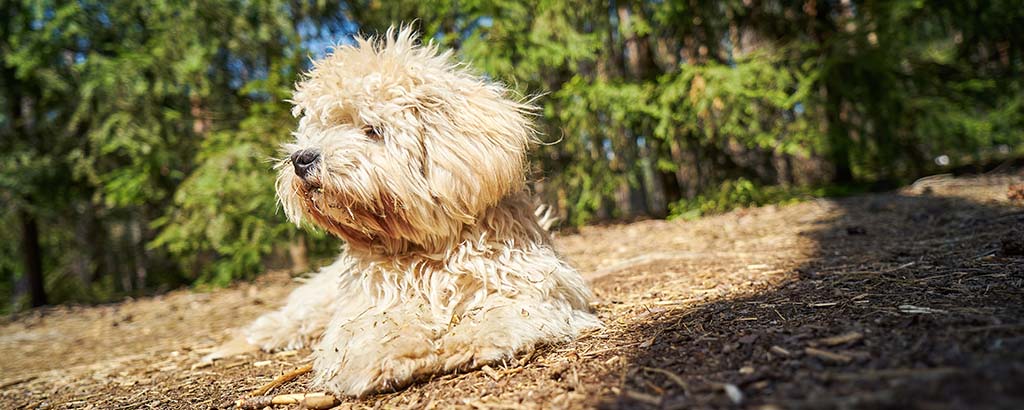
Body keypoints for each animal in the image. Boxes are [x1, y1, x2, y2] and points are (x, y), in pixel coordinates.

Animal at [219, 26, 598, 397]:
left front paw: (470, 336)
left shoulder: (536, 286)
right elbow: (372, 327)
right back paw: (269, 331)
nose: (301, 158)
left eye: (372, 129)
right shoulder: (368, 304)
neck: (428, 249)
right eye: (317, 127)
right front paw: (387, 354)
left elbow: (507, 308)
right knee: (298, 312)